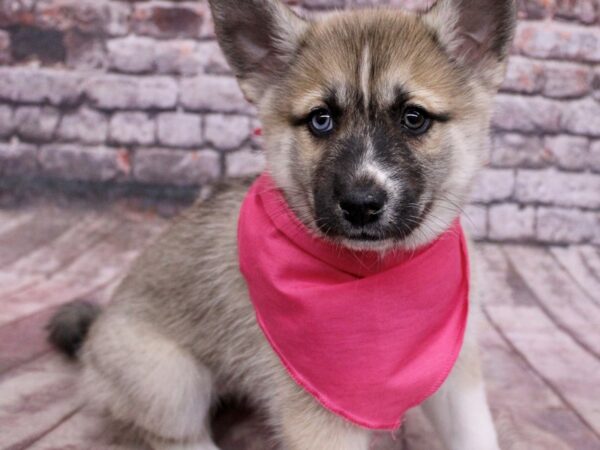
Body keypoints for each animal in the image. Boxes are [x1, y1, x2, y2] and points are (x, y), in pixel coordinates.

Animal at [49, 1, 516, 448]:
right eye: (321, 120)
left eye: (413, 118)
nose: (361, 205)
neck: (380, 274)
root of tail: (97, 329)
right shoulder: (318, 419)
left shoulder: (456, 372)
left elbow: (477, 435)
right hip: (169, 381)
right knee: (172, 435)